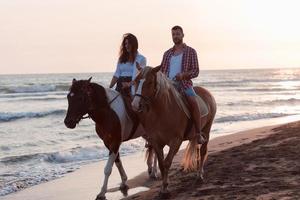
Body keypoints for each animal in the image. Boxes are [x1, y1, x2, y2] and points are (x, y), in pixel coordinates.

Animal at [132, 66, 217, 198]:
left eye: (150, 82)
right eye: (136, 81)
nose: (135, 105)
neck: (163, 112)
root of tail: (207, 92)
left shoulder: (176, 141)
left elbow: (167, 162)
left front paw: (165, 188)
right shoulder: (156, 142)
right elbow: (161, 164)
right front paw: (163, 187)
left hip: (207, 129)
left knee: (203, 151)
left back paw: (199, 175)